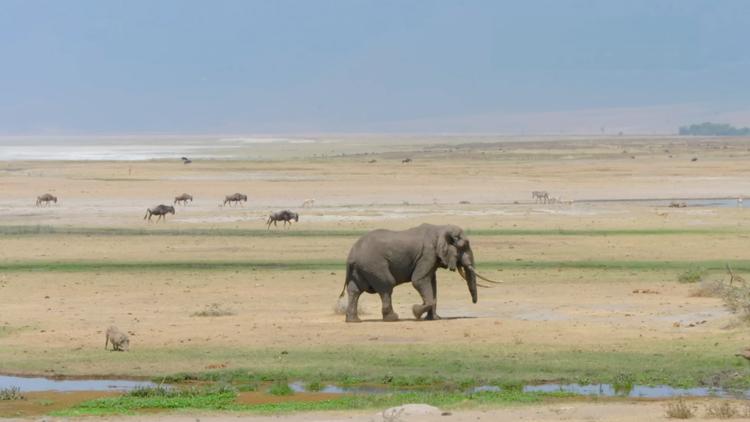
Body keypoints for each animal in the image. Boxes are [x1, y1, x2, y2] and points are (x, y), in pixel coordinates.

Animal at [340, 224, 502, 324]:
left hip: (361, 269)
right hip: (374, 265)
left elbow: (432, 284)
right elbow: (419, 281)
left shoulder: (432, 259)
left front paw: (435, 319)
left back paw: (354, 321)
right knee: (387, 286)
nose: (474, 302)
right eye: (464, 246)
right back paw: (393, 318)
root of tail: (351, 255)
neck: (440, 229)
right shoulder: (427, 255)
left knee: (354, 291)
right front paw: (416, 312)